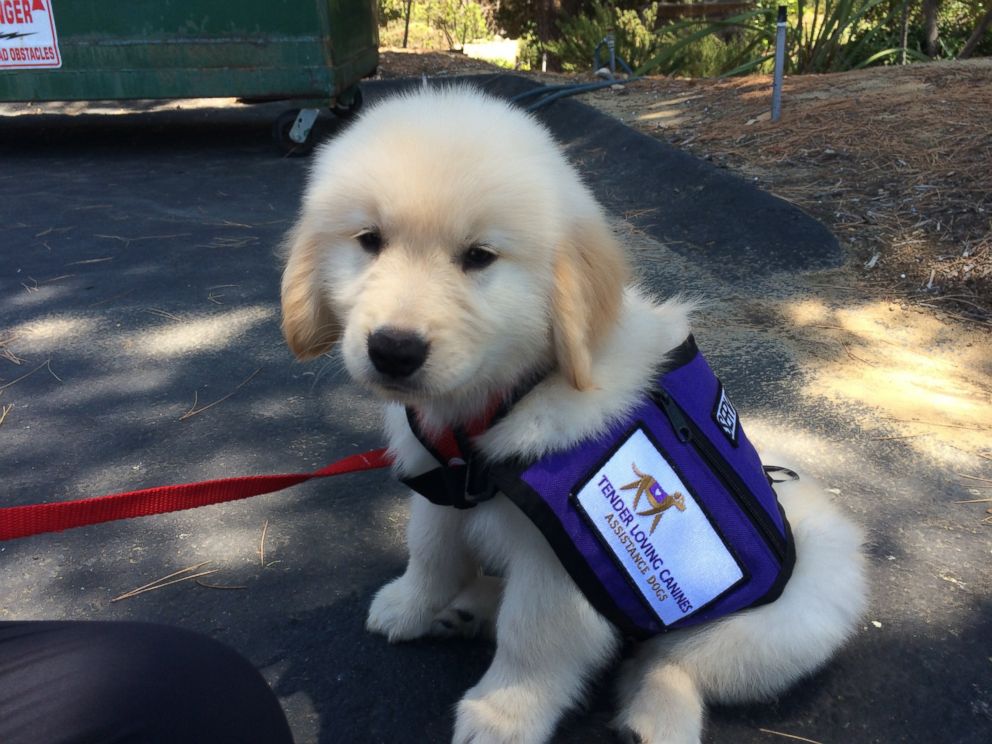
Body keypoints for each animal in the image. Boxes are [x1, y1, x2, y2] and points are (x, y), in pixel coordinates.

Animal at [280, 84, 868, 740]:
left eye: (479, 256)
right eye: (369, 240)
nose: (393, 350)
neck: (511, 395)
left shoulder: (564, 564)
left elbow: (532, 639)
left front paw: (501, 715)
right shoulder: (442, 486)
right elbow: (431, 548)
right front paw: (411, 604)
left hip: (793, 613)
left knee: (674, 660)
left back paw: (655, 717)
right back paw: (468, 607)